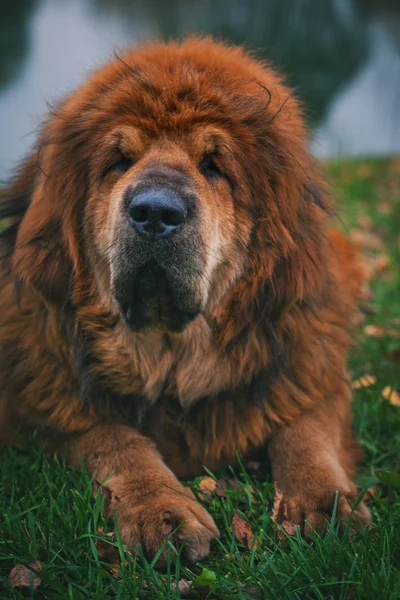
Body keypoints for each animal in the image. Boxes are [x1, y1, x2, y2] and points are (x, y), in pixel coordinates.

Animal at [0, 38, 370, 564]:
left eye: (214, 165)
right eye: (119, 160)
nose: (155, 212)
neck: (173, 360)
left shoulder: (311, 374)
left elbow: (306, 431)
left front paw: (325, 503)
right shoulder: (38, 405)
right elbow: (116, 439)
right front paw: (162, 510)